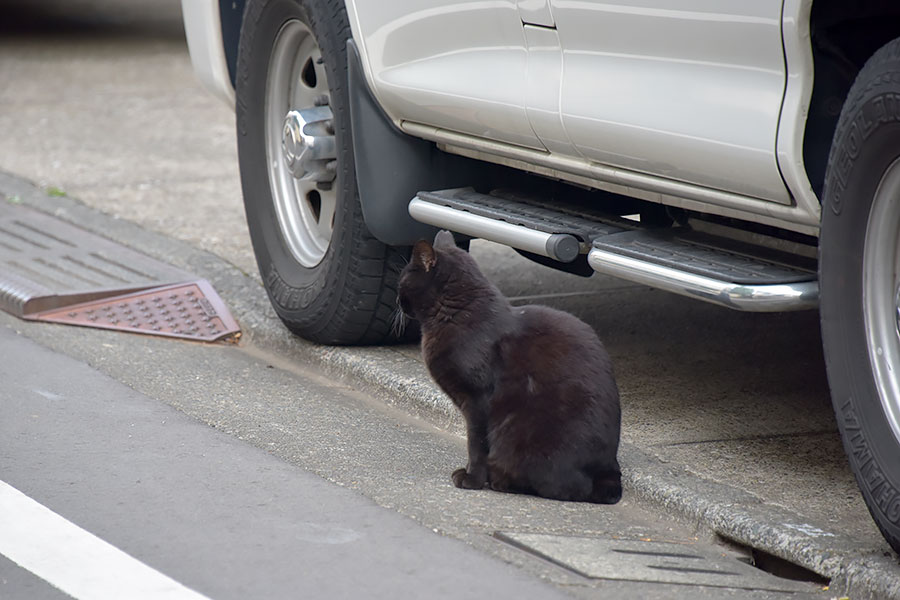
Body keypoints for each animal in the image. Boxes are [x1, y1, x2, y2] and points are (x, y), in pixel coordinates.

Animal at [398, 232, 624, 504]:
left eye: (402, 280)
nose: (397, 299)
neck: (457, 313)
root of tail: (609, 471)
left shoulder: (477, 401)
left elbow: (476, 444)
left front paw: (472, 480)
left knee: (564, 488)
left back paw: (501, 481)